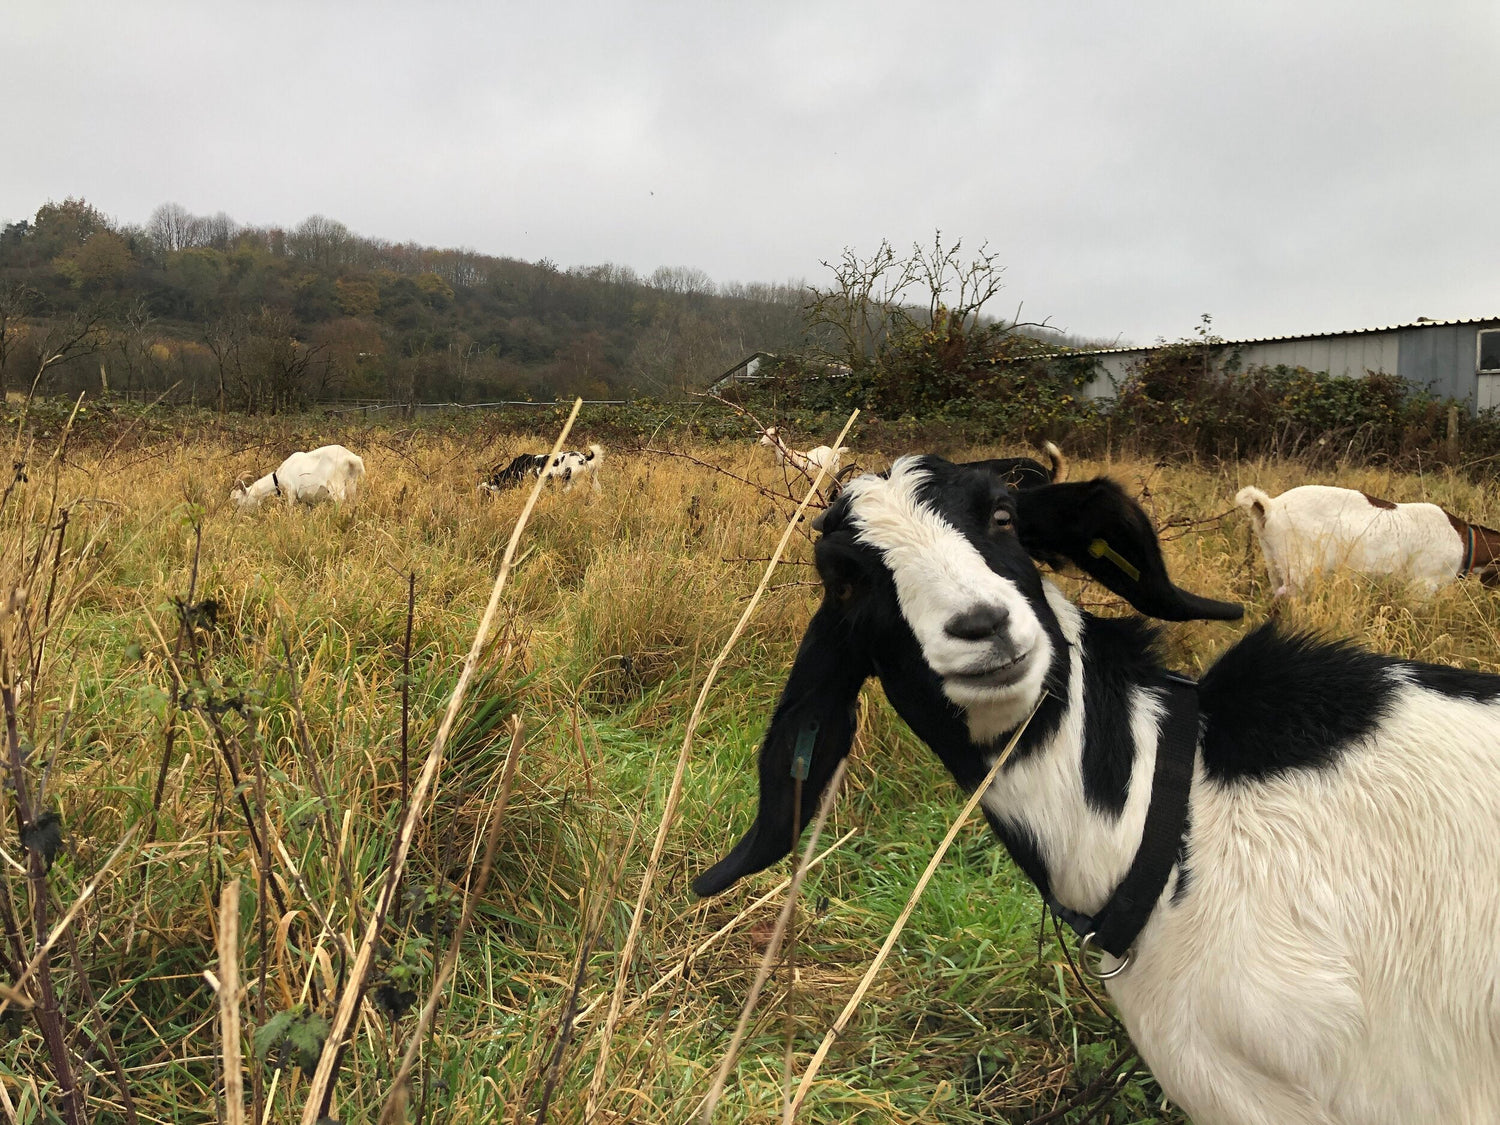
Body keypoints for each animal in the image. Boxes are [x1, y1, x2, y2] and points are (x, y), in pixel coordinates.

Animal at [231, 447, 366, 513]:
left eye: (239, 500)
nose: (238, 516)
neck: (280, 475)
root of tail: (350, 458)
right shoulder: (309, 501)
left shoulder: (291, 492)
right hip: (352, 483)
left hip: (336, 486)